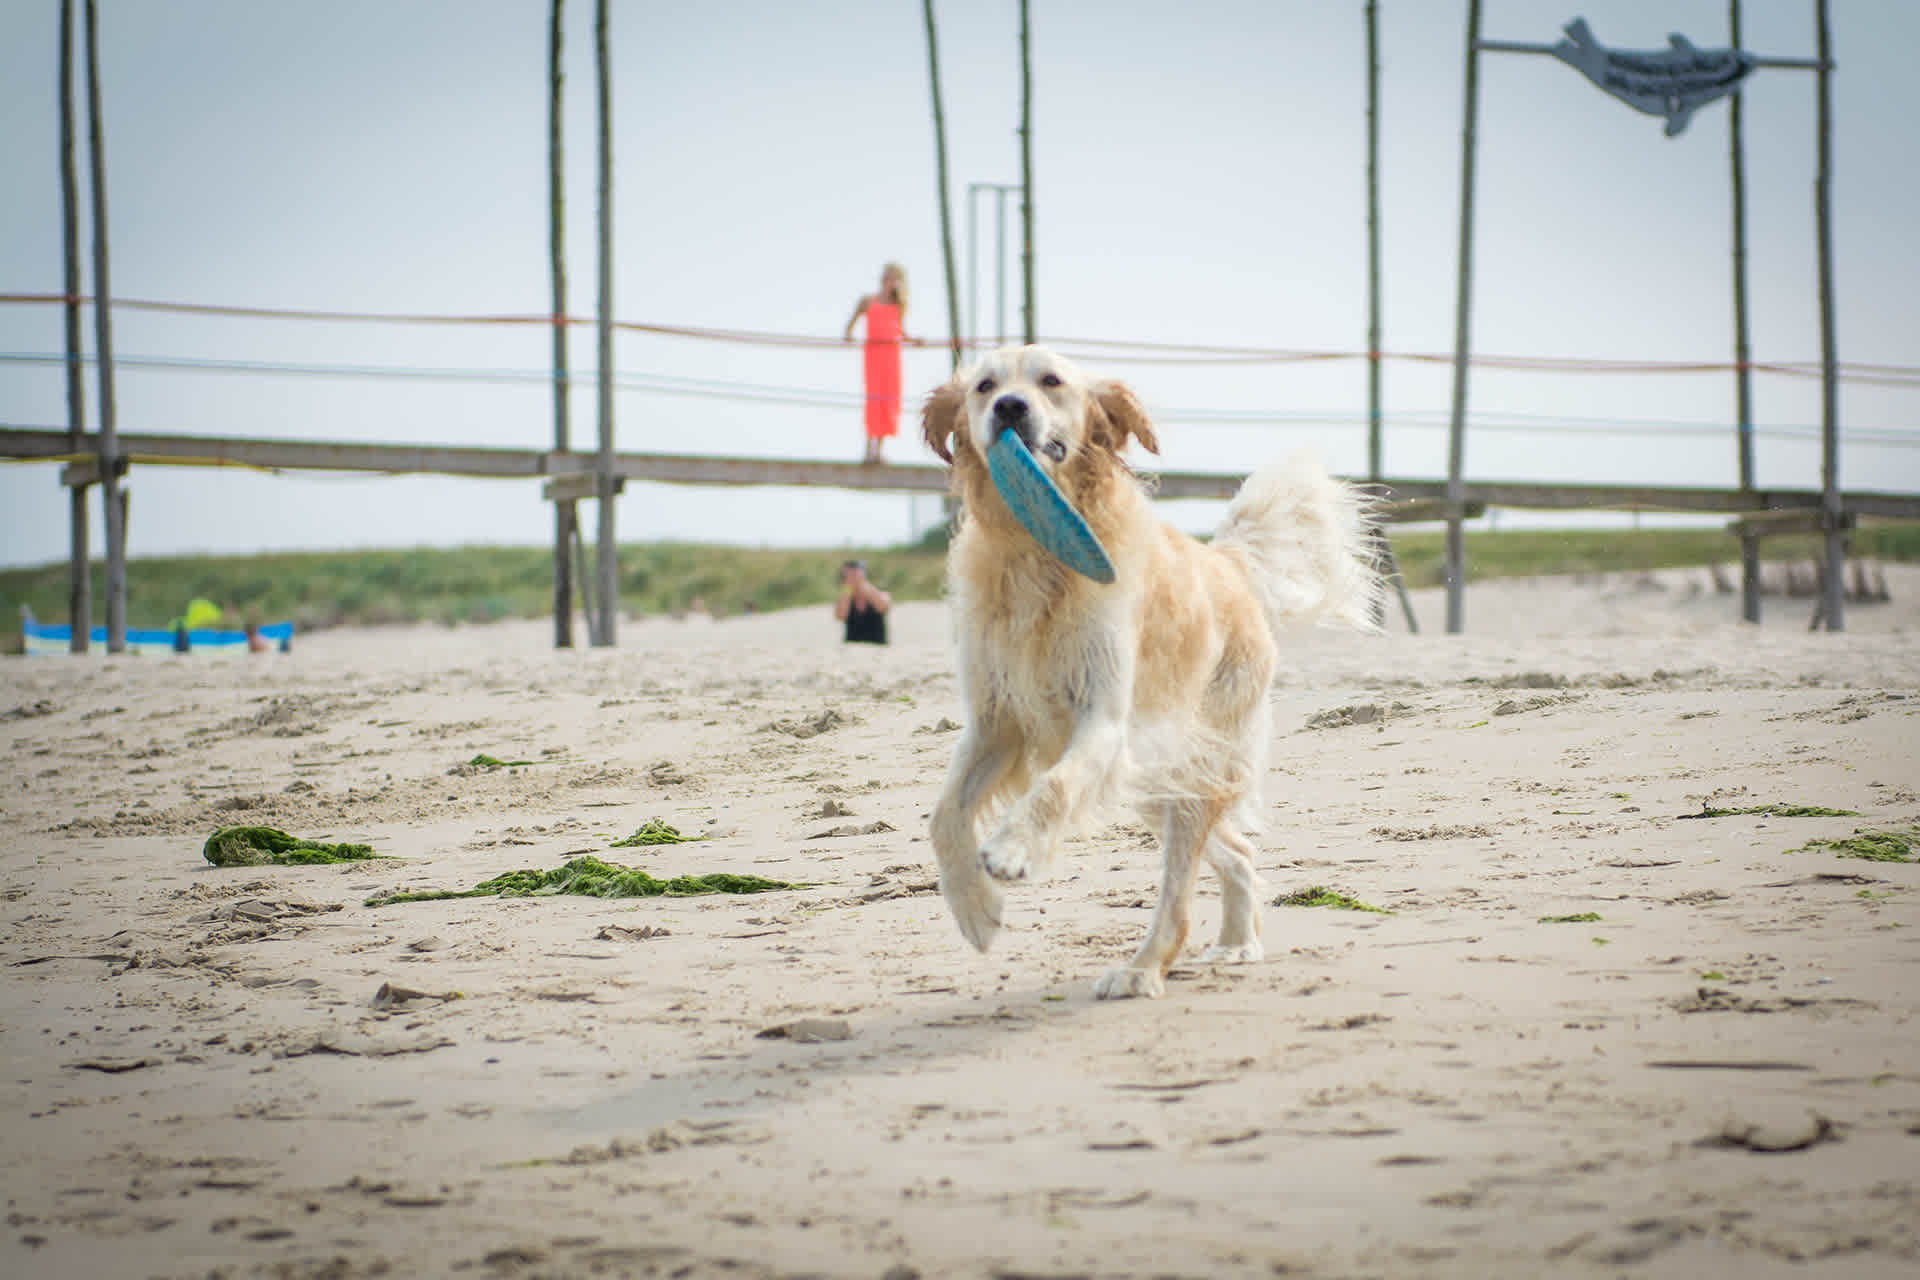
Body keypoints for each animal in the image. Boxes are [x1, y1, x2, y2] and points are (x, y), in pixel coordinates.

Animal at [917, 343, 1382, 997]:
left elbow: (1052, 786)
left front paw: (1011, 850)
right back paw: (1237, 941)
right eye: (984, 386)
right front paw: (975, 909)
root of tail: (1227, 562)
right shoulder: (995, 723)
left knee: (1180, 897)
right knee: (1236, 850)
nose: (1009, 407)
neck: (1033, 555)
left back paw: (1141, 969)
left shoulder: (1105, 717)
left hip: (1189, 759)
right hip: (1154, 781)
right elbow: (943, 815)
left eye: (1051, 381)